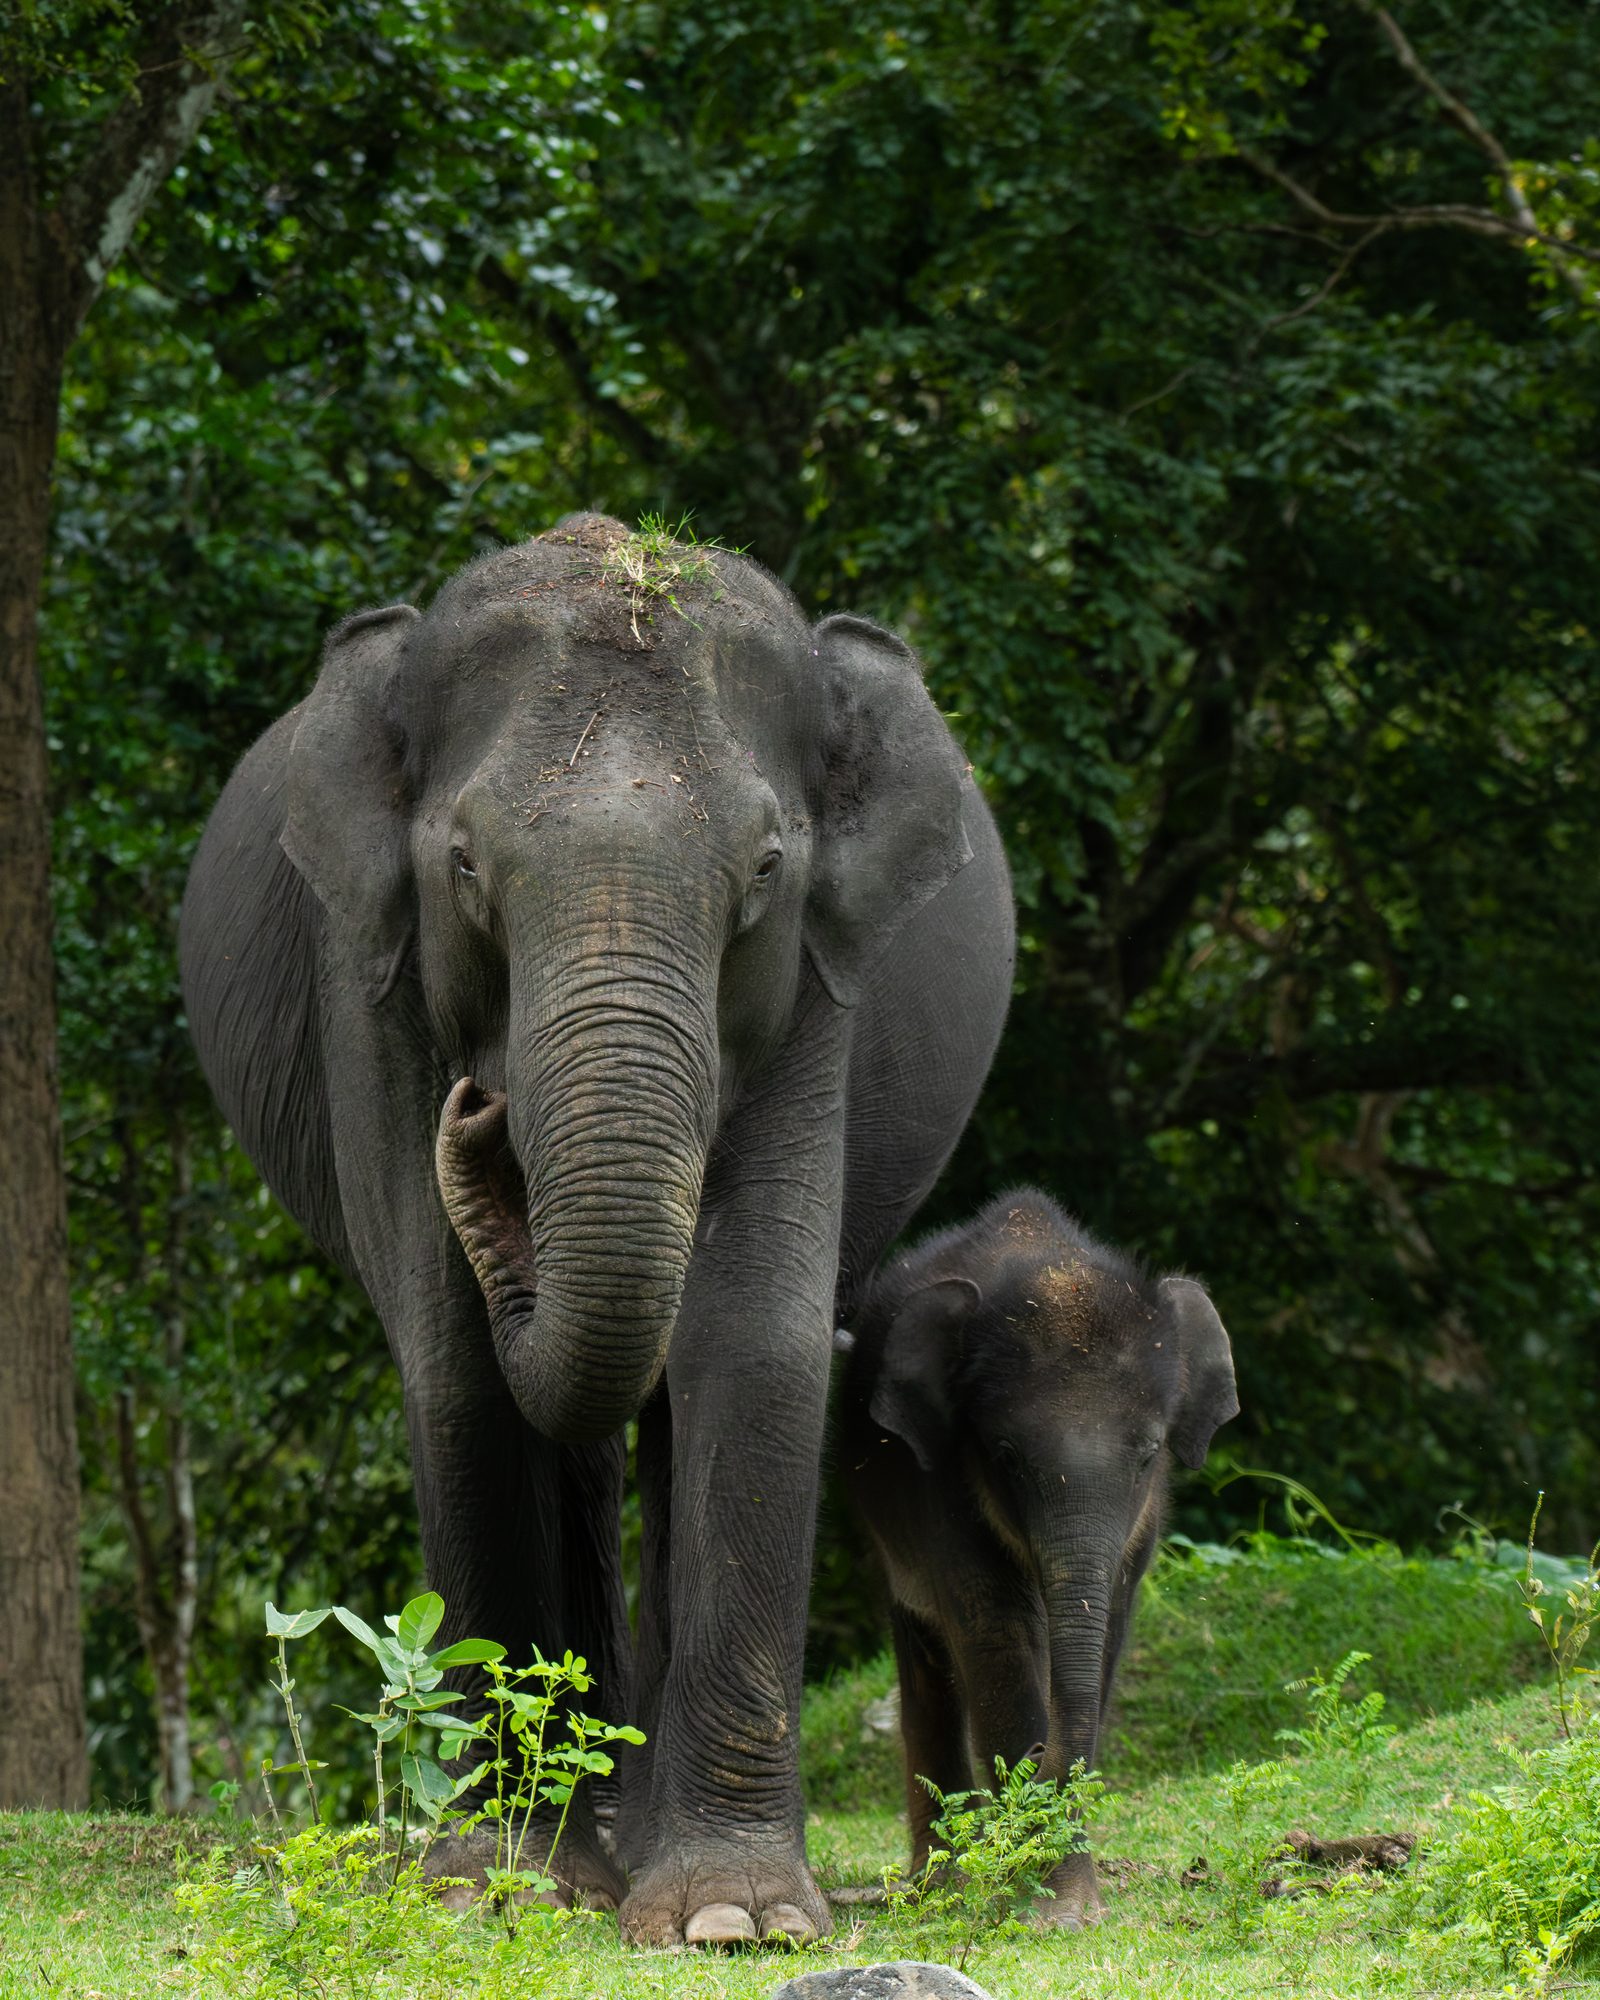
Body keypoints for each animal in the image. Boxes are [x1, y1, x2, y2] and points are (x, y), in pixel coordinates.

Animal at [178, 514, 1014, 1946]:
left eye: (765, 872)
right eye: (465, 867)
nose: (480, 1108)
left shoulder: (817, 994)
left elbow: (752, 1336)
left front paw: (733, 1919)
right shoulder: (370, 986)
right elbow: (457, 1359)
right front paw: (503, 1888)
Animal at [835, 1187, 1237, 1925]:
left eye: (1149, 1454)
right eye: (1006, 1457)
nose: (1044, 1755)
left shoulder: (1146, 1520)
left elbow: (1106, 1635)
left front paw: (1065, 1905)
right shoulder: (939, 1481)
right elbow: (997, 1634)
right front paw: (1039, 1902)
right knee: (928, 1662)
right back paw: (939, 1885)